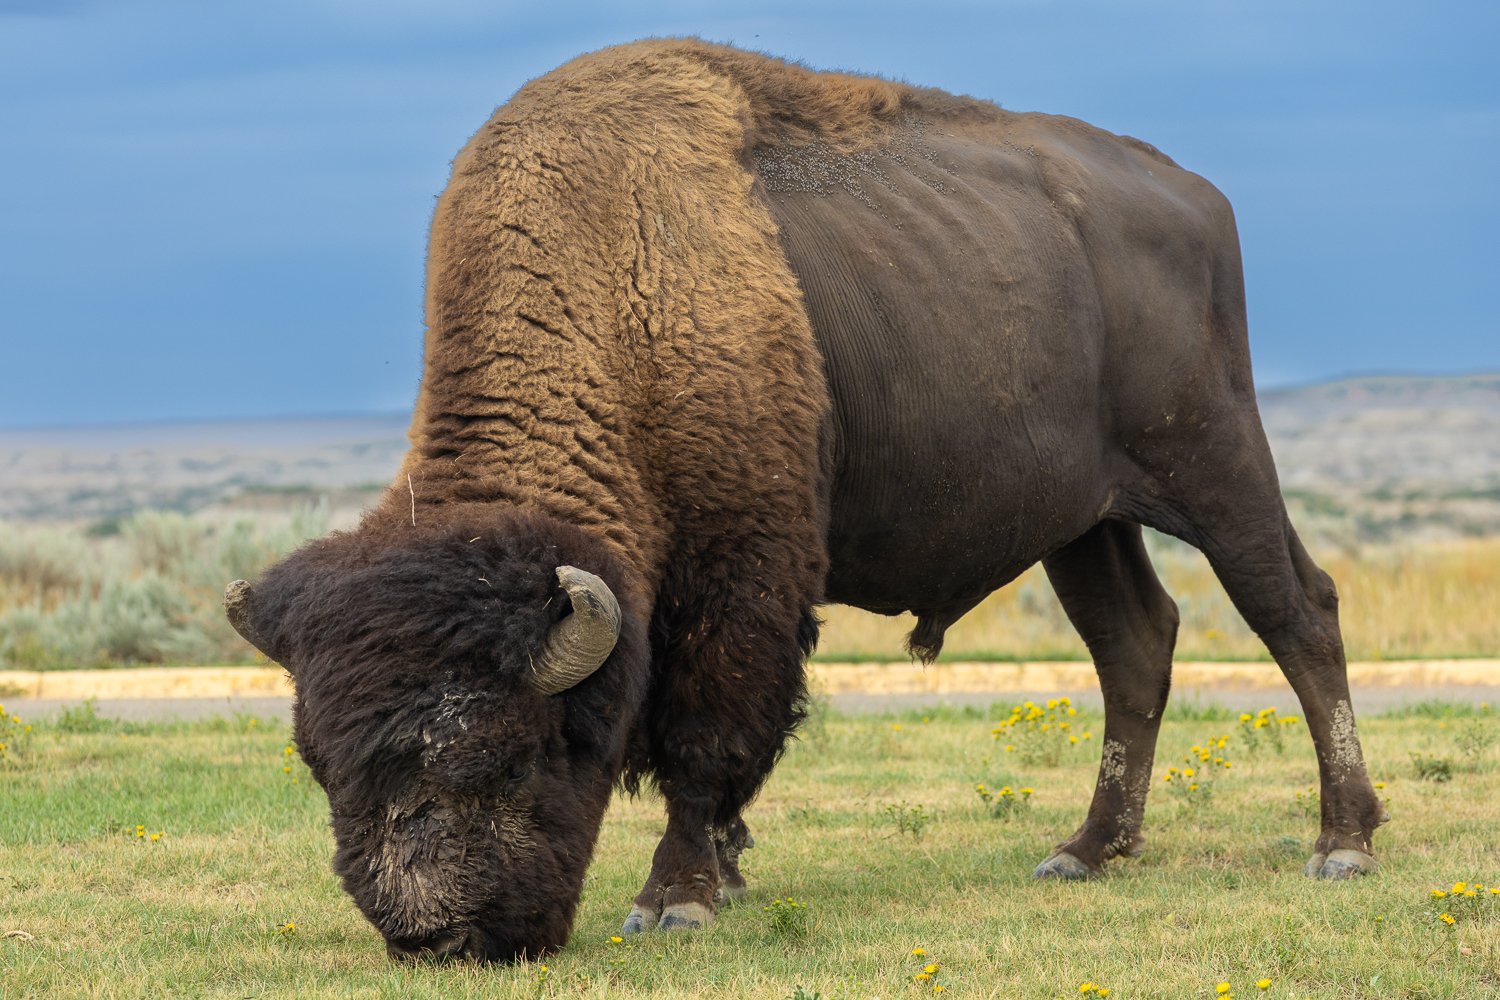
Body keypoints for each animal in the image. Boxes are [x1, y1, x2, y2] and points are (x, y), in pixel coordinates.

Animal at [225, 39, 1385, 962]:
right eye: (324, 768)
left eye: (507, 758)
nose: (436, 939)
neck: (611, 280)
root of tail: (1192, 194)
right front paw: (728, 876)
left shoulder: (738, 575)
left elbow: (702, 731)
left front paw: (677, 899)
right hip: (1086, 519)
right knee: (1134, 644)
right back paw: (1087, 851)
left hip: (1213, 459)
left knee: (1297, 610)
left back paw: (1342, 844)